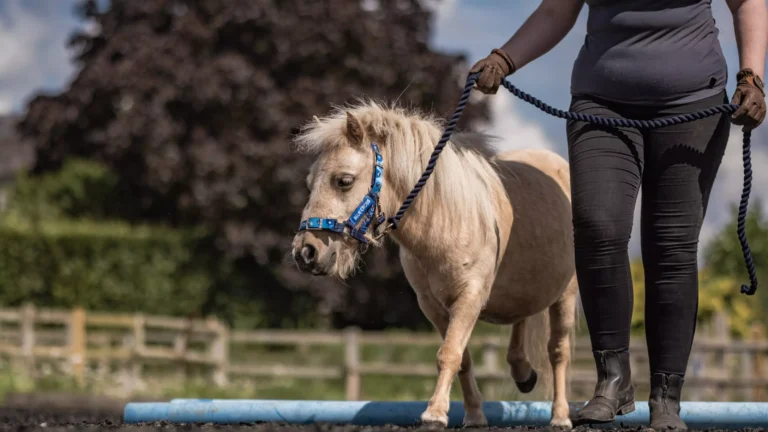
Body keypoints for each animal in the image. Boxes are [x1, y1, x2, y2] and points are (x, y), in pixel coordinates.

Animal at [290, 100, 579, 429]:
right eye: (309, 182)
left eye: (344, 181)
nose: (305, 252)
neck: (446, 217)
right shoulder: (432, 304)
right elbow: (462, 358)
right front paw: (474, 415)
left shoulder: (469, 297)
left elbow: (450, 353)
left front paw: (434, 414)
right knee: (523, 316)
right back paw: (522, 371)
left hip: (566, 295)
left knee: (558, 352)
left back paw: (560, 416)